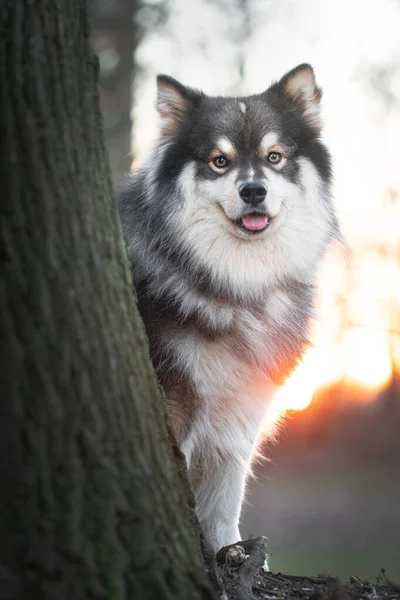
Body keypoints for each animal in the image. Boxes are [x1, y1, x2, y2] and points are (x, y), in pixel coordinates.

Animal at [116, 64, 340, 564]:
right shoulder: (176, 406)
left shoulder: (236, 414)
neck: (235, 284)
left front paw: (229, 557)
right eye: (220, 161)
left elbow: (222, 507)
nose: (253, 190)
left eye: (274, 157)